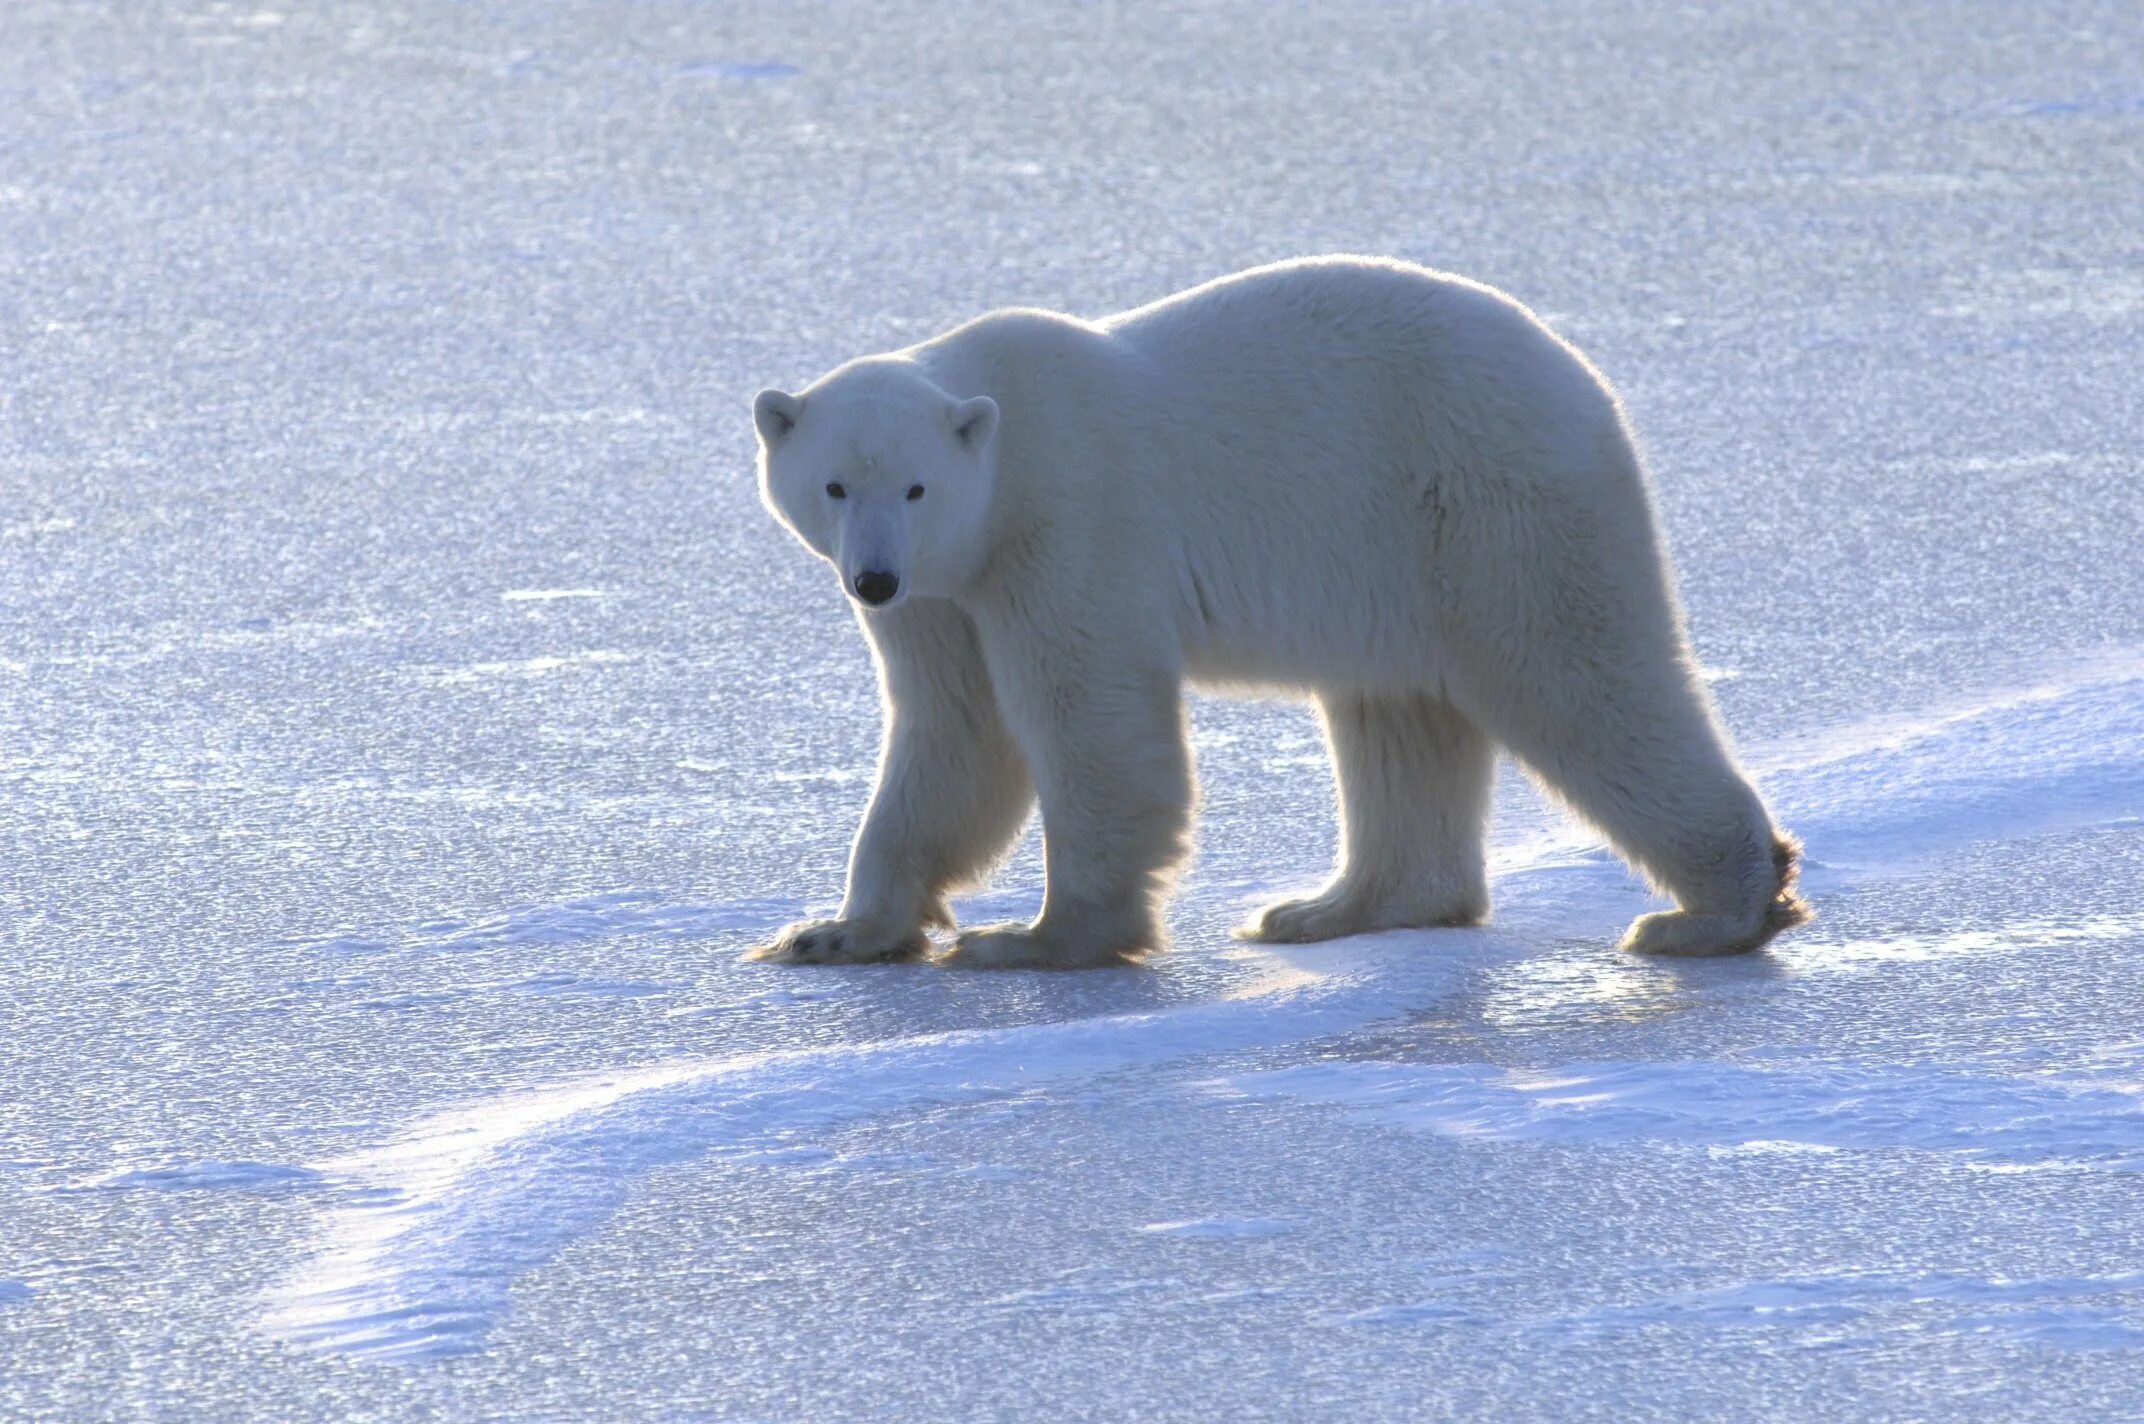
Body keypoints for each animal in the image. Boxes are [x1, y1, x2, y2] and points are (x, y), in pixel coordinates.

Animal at [747, 256, 1810, 969]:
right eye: (835, 485)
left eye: (916, 487)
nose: (872, 579)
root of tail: (1590, 387)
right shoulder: (948, 593)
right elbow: (955, 732)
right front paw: (834, 931)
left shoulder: (1064, 525)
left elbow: (1086, 721)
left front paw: (1040, 936)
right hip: (1398, 563)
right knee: (1398, 717)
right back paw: (1329, 908)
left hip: (1484, 503)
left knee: (1578, 679)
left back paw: (1715, 909)